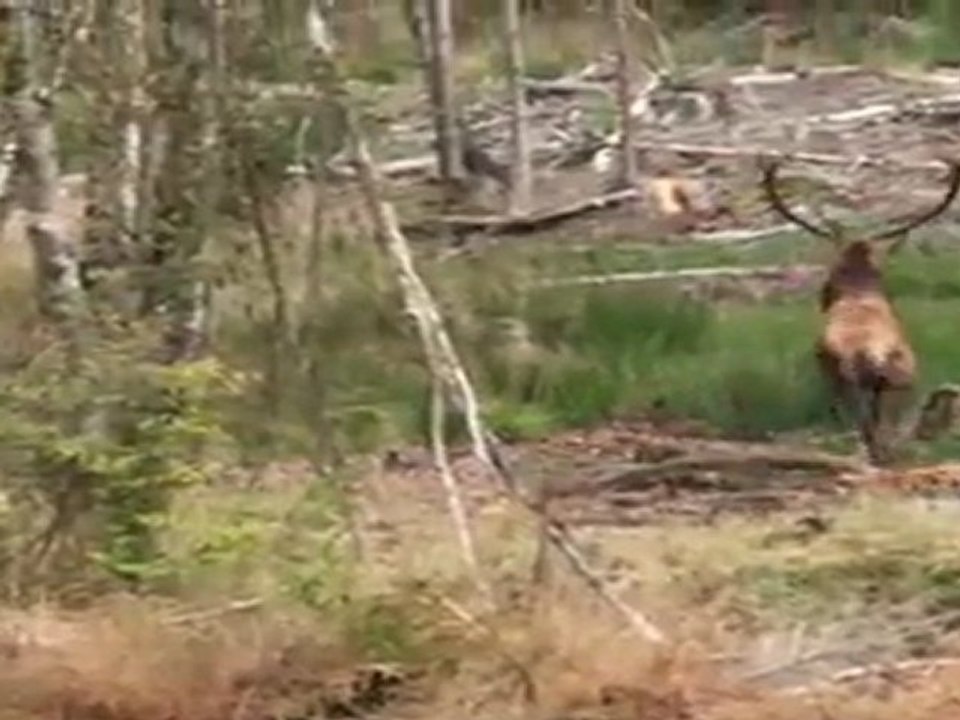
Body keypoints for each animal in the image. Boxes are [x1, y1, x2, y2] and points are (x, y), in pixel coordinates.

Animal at [760, 157, 960, 466]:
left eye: (831, 272)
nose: (822, 296)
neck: (859, 289)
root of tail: (869, 355)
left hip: (861, 384)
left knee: (872, 431)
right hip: (894, 383)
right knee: (881, 432)